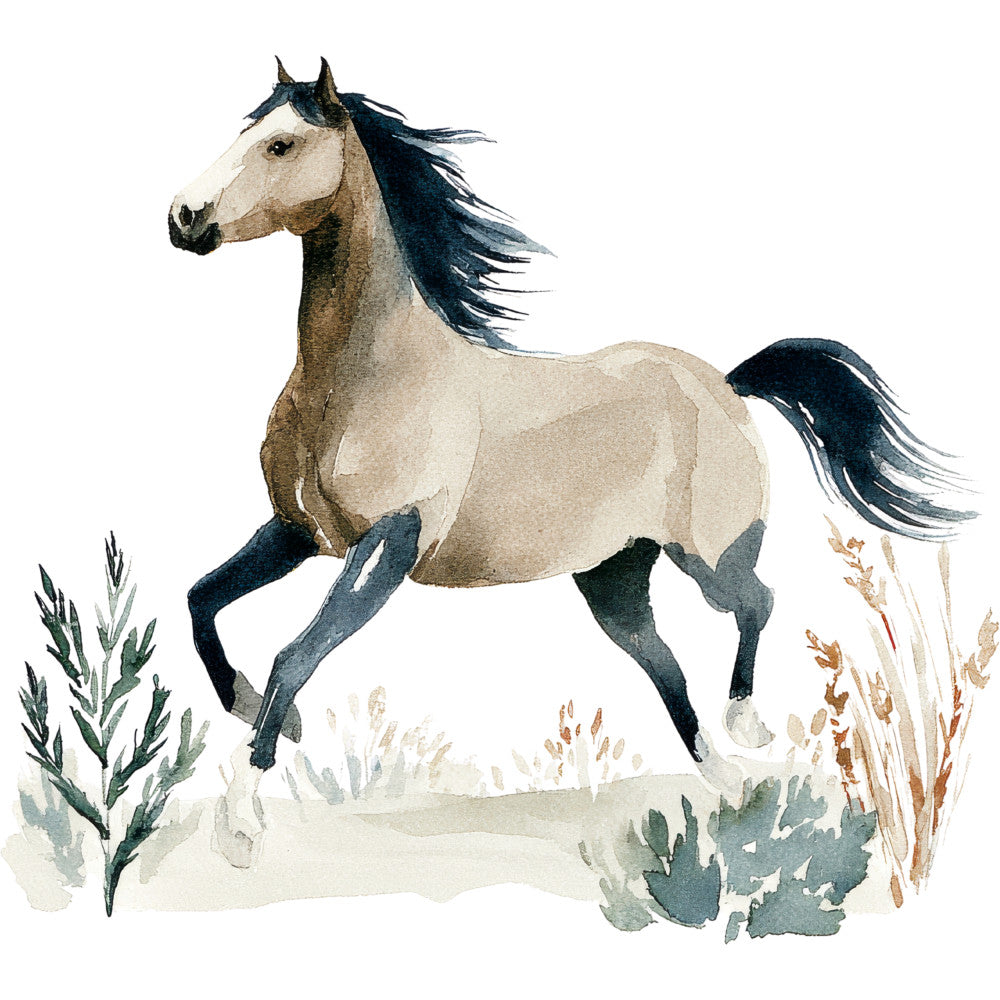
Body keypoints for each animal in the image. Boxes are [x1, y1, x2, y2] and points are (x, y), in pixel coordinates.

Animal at [169, 59, 970, 857]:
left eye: (281, 144)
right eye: (245, 127)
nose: (183, 216)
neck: (368, 375)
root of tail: (726, 382)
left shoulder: (388, 543)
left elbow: (294, 655)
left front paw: (240, 820)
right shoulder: (299, 532)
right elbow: (202, 600)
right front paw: (255, 714)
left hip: (710, 556)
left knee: (756, 602)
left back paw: (746, 726)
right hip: (614, 578)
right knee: (664, 662)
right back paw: (727, 784)